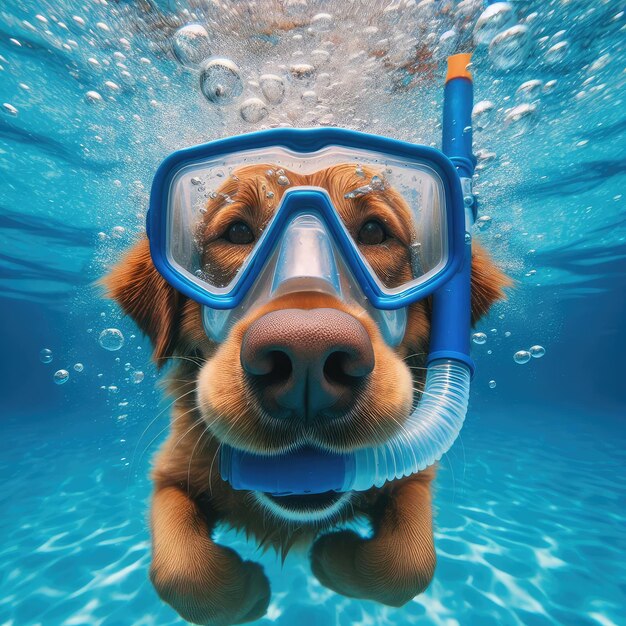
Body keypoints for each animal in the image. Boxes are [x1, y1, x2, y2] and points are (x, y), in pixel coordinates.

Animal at [103, 163, 508, 620]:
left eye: (373, 231)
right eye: (238, 232)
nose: (308, 356)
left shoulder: (413, 475)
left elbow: (408, 564)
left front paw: (330, 556)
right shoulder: (170, 473)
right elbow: (184, 573)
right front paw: (250, 592)